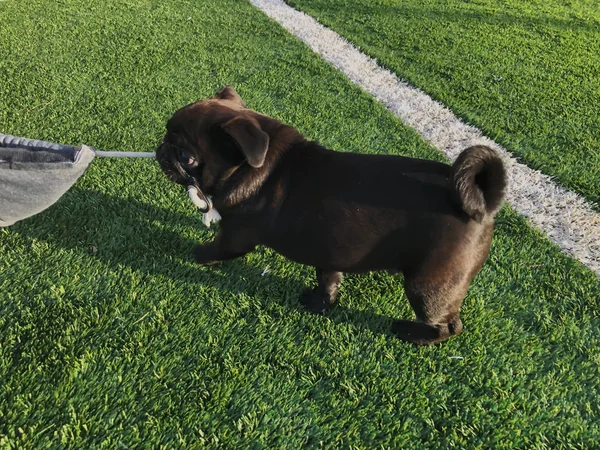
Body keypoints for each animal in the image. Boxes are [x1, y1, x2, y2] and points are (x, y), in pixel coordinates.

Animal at [157, 86, 504, 344]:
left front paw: (198, 253)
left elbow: (217, 249)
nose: (161, 149)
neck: (258, 167)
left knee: (448, 325)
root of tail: (480, 204)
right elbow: (328, 278)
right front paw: (320, 303)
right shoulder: (329, 247)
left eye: (186, 156)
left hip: (429, 285)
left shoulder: (236, 236)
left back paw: (412, 334)